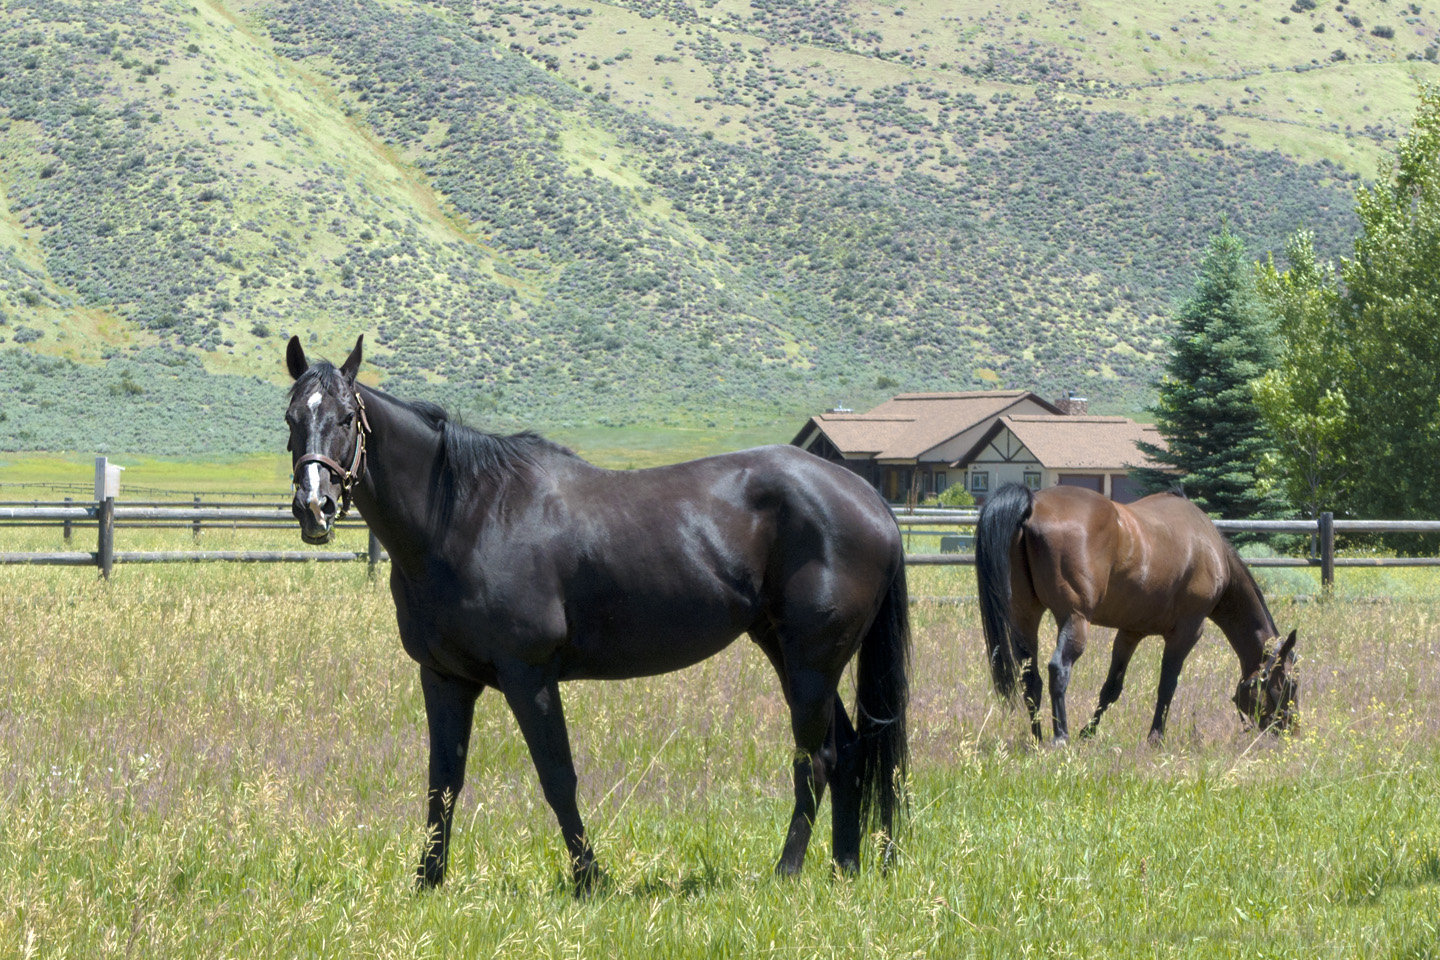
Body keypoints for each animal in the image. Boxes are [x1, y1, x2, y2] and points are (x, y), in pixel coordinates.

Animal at [283, 335, 910, 889]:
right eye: (291, 418)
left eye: (346, 418)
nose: (315, 507)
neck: (467, 517)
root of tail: (867, 496)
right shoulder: (444, 678)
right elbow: (443, 783)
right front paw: (428, 882)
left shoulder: (528, 676)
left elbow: (558, 778)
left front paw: (590, 878)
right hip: (792, 655)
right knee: (848, 752)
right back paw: (844, 868)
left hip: (810, 662)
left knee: (817, 758)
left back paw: (788, 871)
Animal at [974, 482, 1298, 746]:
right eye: (1289, 683)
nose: (1288, 729)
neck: (1208, 546)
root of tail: (1032, 503)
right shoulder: (1187, 633)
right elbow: (1167, 686)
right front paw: (1156, 737)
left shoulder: (1130, 632)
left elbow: (1111, 688)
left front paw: (1089, 732)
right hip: (1074, 619)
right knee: (1058, 670)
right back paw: (1060, 736)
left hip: (1026, 617)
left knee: (1031, 678)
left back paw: (1037, 737)